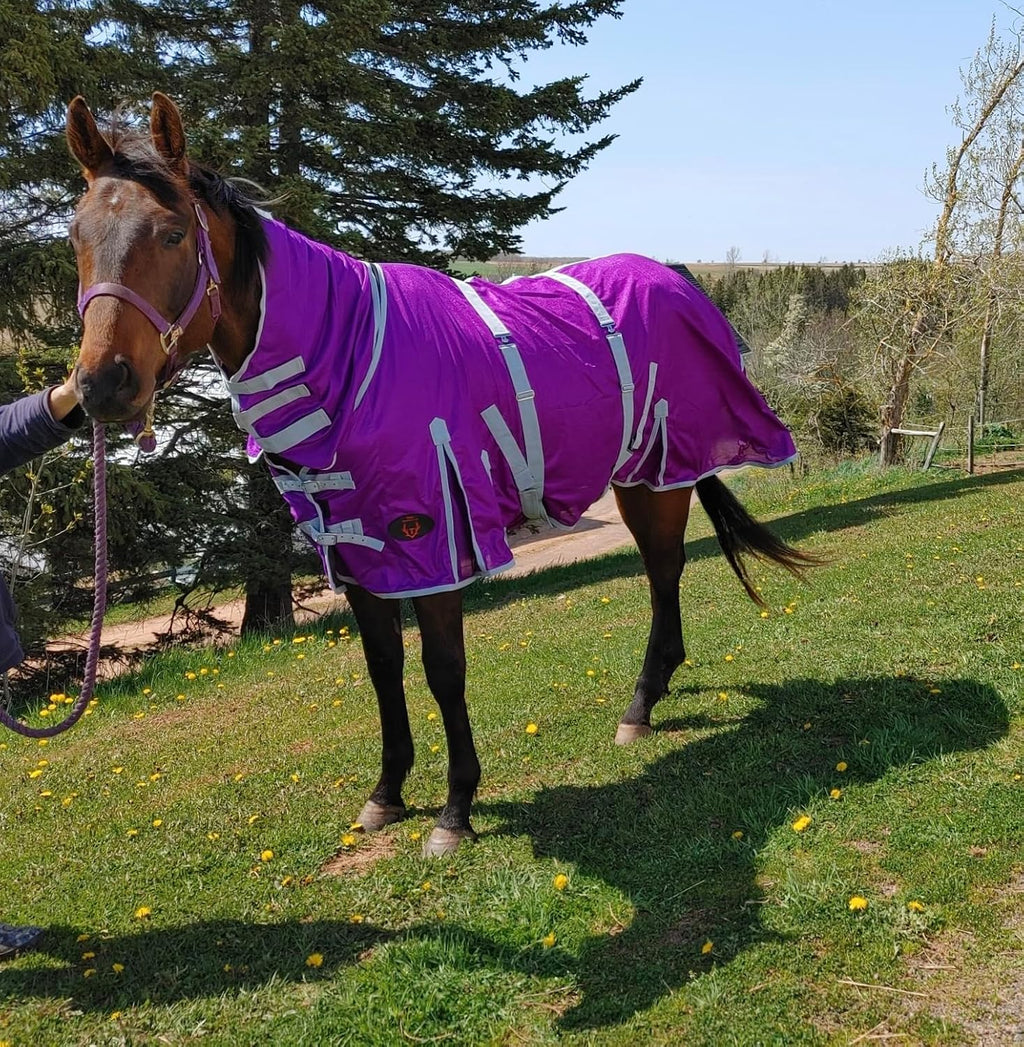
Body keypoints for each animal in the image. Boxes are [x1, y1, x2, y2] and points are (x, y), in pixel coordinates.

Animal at [66, 93, 815, 856]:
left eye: (172, 233)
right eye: (76, 238)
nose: (100, 386)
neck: (347, 363)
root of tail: (674, 274)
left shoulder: (434, 540)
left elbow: (442, 671)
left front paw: (456, 809)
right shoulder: (359, 550)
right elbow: (383, 669)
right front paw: (387, 793)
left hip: (660, 474)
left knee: (664, 573)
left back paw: (639, 704)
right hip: (639, 478)